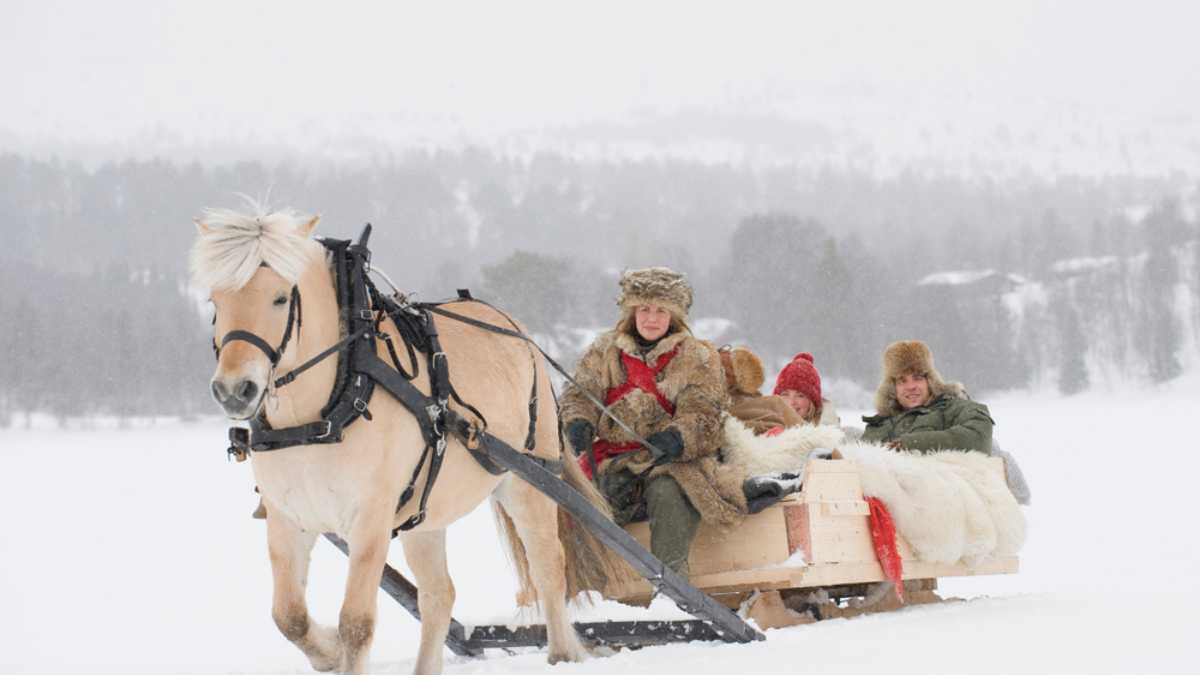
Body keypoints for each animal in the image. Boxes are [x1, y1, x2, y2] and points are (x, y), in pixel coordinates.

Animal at [192, 205, 624, 672]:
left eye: (280, 298)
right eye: (215, 301)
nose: (234, 390)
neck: (324, 414)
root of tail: (515, 328)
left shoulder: (371, 519)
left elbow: (356, 623)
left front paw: (340, 647)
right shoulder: (289, 518)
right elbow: (289, 616)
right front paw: (327, 652)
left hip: (528, 480)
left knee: (548, 565)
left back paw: (563, 654)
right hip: (425, 513)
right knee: (439, 595)